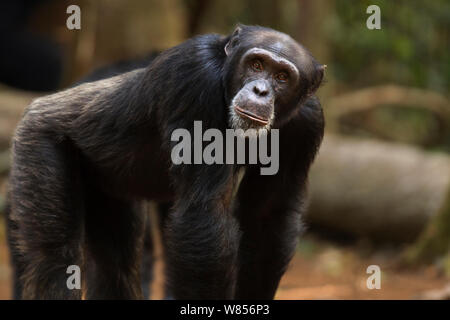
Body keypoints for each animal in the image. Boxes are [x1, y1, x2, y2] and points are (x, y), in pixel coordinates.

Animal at [6, 25, 324, 300]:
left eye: (282, 77)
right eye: (256, 65)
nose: (261, 90)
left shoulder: (308, 122)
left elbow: (267, 217)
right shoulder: (195, 77)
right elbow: (202, 215)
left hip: (106, 187)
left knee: (116, 266)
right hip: (39, 143)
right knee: (55, 259)